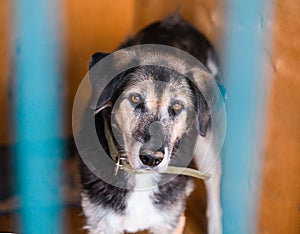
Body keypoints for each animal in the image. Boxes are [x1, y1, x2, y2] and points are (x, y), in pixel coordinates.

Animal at [78, 15, 224, 234]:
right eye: (136, 98)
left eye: (177, 105)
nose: (151, 159)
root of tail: (177, 22)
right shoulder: (102, 222)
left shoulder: (168, 222)